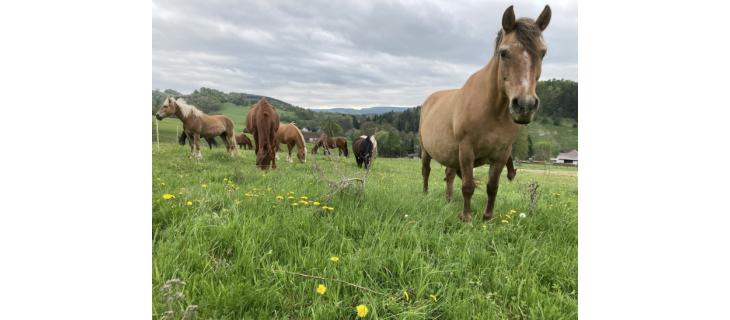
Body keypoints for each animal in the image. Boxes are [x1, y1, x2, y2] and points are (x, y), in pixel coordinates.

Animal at [418, 5, 548, 221]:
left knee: (449, 175)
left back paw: (448, 200)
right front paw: (466, 218)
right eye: (504, 53)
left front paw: (487, 217)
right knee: (426, 171)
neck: (493, 111)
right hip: (426, 150)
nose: (525, 105)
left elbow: (492, 187)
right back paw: (425, 194)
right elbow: (468, 186)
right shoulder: (466, 149)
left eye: (543, 53)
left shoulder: (502, 154)